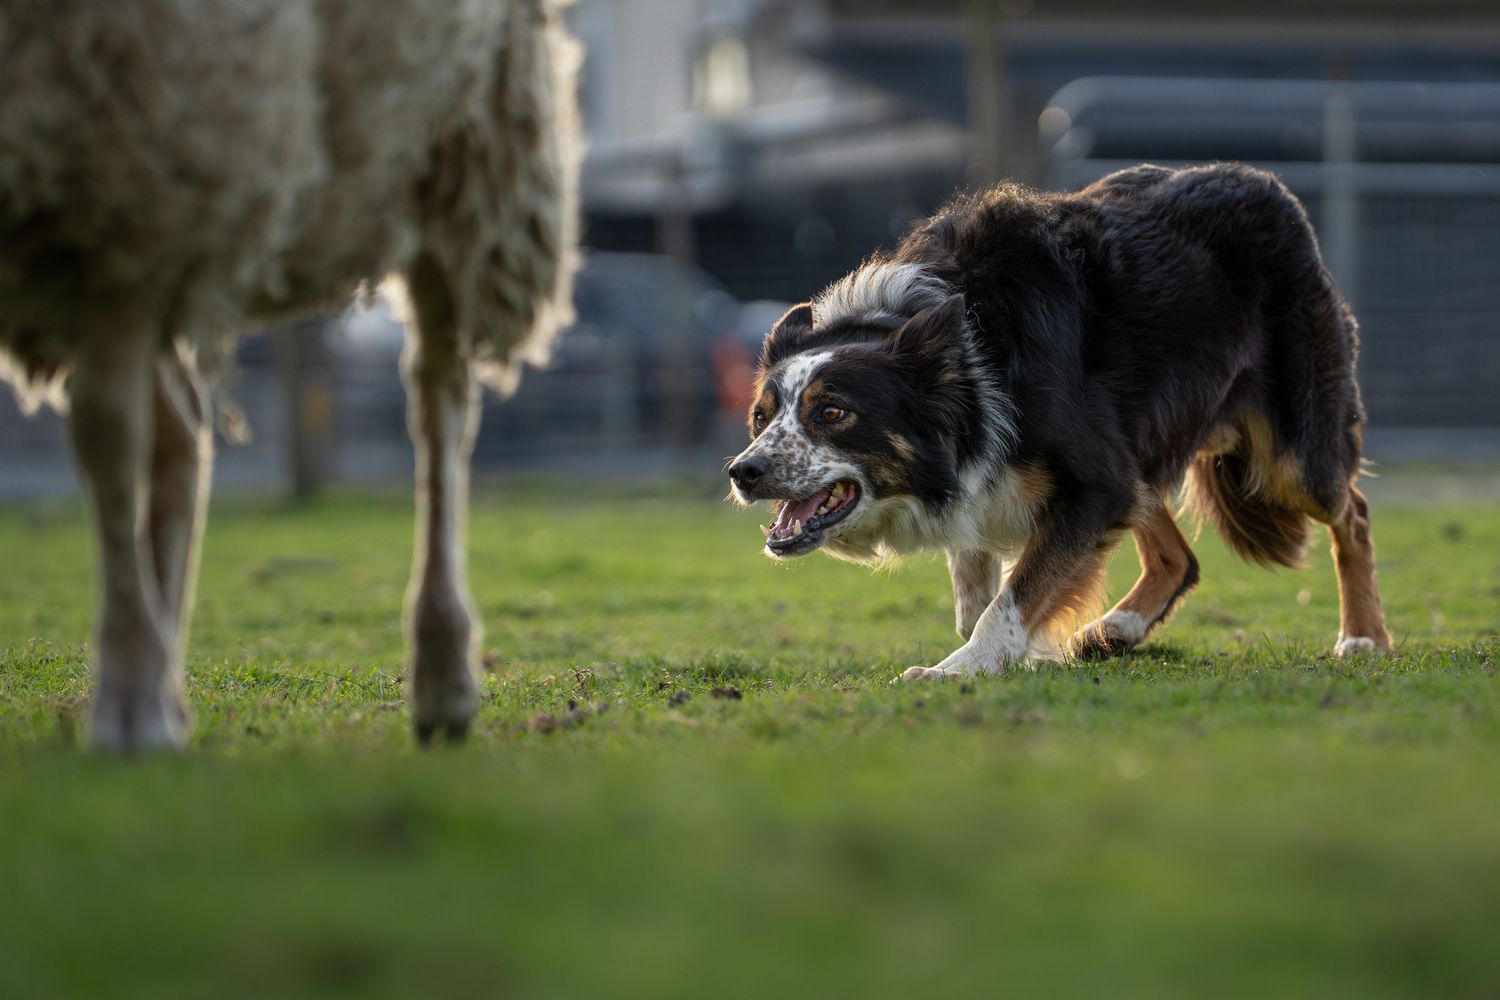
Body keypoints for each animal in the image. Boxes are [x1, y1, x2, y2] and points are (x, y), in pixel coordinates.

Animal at [0, 0, 581, 750]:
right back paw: (166, 677)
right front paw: (141, 691)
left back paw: (443, 676)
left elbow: (108, 440)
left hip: (458, 151)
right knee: (182, 427)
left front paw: (128, 712)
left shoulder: (136, 190)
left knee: (439, 402)